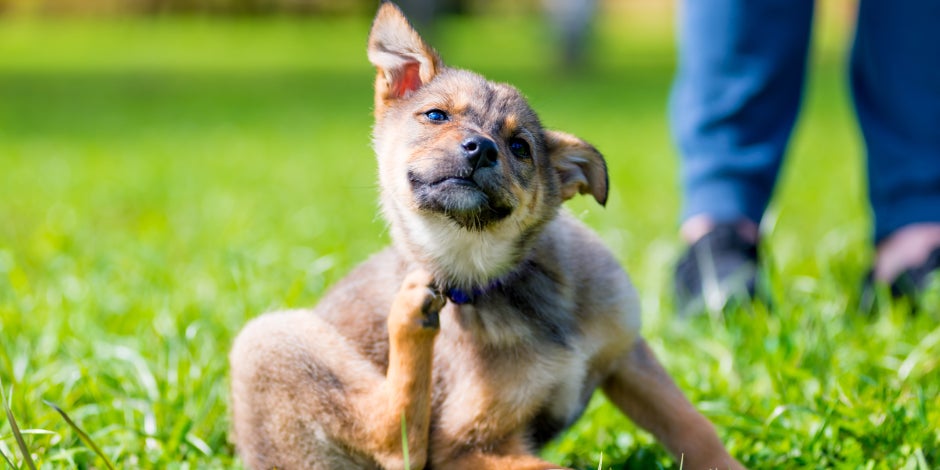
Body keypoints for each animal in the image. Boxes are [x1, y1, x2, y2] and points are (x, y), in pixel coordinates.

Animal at [228, 1, 740, 468]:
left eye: (520, 147)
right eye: (436, 116)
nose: (480, 149)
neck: (500, 279)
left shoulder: (629, 356)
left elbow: (693, 428)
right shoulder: (465, 445)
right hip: (266, 340)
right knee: (394, 440)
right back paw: (409, 316)